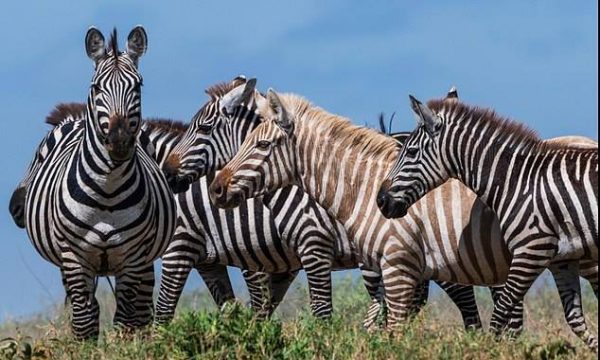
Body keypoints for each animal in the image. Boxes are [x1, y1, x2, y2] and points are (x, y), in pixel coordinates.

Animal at [22, 26, 176, 338]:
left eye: (138, 86)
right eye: (96, 88)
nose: (119, 141)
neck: (107, 190)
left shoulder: (132, 257)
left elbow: (126, 320)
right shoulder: (74, 257)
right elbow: (84, 321)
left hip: (144, 260)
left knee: (141, 309)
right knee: (89, 309)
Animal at [382, 94, 596, 348]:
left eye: (412, 152)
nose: (381, 201)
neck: (516, 181)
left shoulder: (529, 251)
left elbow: (498, 312)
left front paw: (487, 348)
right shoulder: (558, 259)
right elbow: (571, 317)